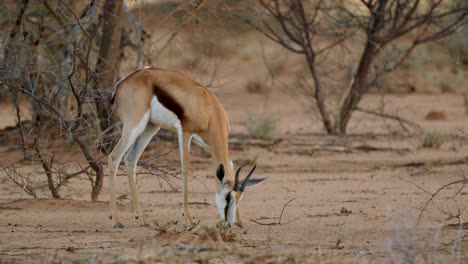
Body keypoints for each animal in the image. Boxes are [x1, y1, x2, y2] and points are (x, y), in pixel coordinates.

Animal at [107, 67, 266, 228]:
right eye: (228, 197)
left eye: (240, 198)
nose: (237, 223)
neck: (210, 111)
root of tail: (122, 82)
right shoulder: (185, 133)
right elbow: (186, 170)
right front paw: (190, 219)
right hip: (134, 125)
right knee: (114, 157)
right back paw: (116, 221)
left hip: (150, 127)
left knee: (130, 159)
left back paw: (142, 219)